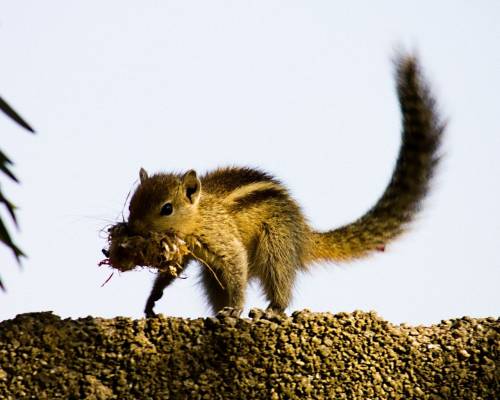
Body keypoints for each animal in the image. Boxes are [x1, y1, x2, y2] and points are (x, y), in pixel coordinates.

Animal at [125, 53, 446, 318]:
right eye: (131, 205)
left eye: (167, 208)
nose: (133, 230)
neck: (199, 212)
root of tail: (303, 234)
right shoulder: (186, 251)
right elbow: (171, 272)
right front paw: (153, 299)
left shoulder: (222, 239)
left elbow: (236, 267)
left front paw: (236, 308)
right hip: (216, 275)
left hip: (275, 244)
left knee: (278, 280)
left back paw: (270, 310)